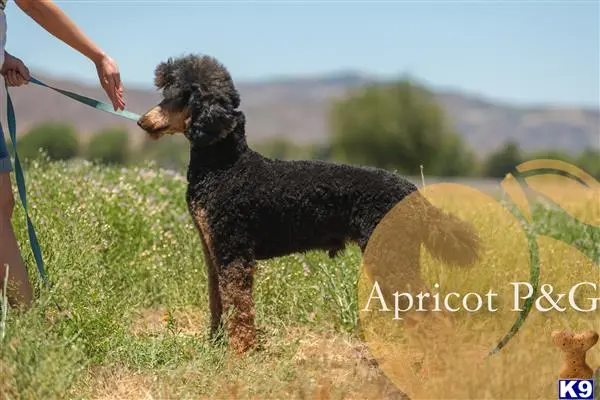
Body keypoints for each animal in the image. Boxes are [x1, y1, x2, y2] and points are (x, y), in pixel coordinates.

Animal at [138, 53, 480, 354]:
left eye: (177, 97)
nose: (142, 121)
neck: (227, 165)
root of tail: (414, 193)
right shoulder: (214, 252)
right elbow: (218, 301)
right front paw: (215, 345)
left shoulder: (234, 252)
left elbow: (240, 307)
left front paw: (240, 353)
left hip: (391, 256)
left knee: (430, 311)